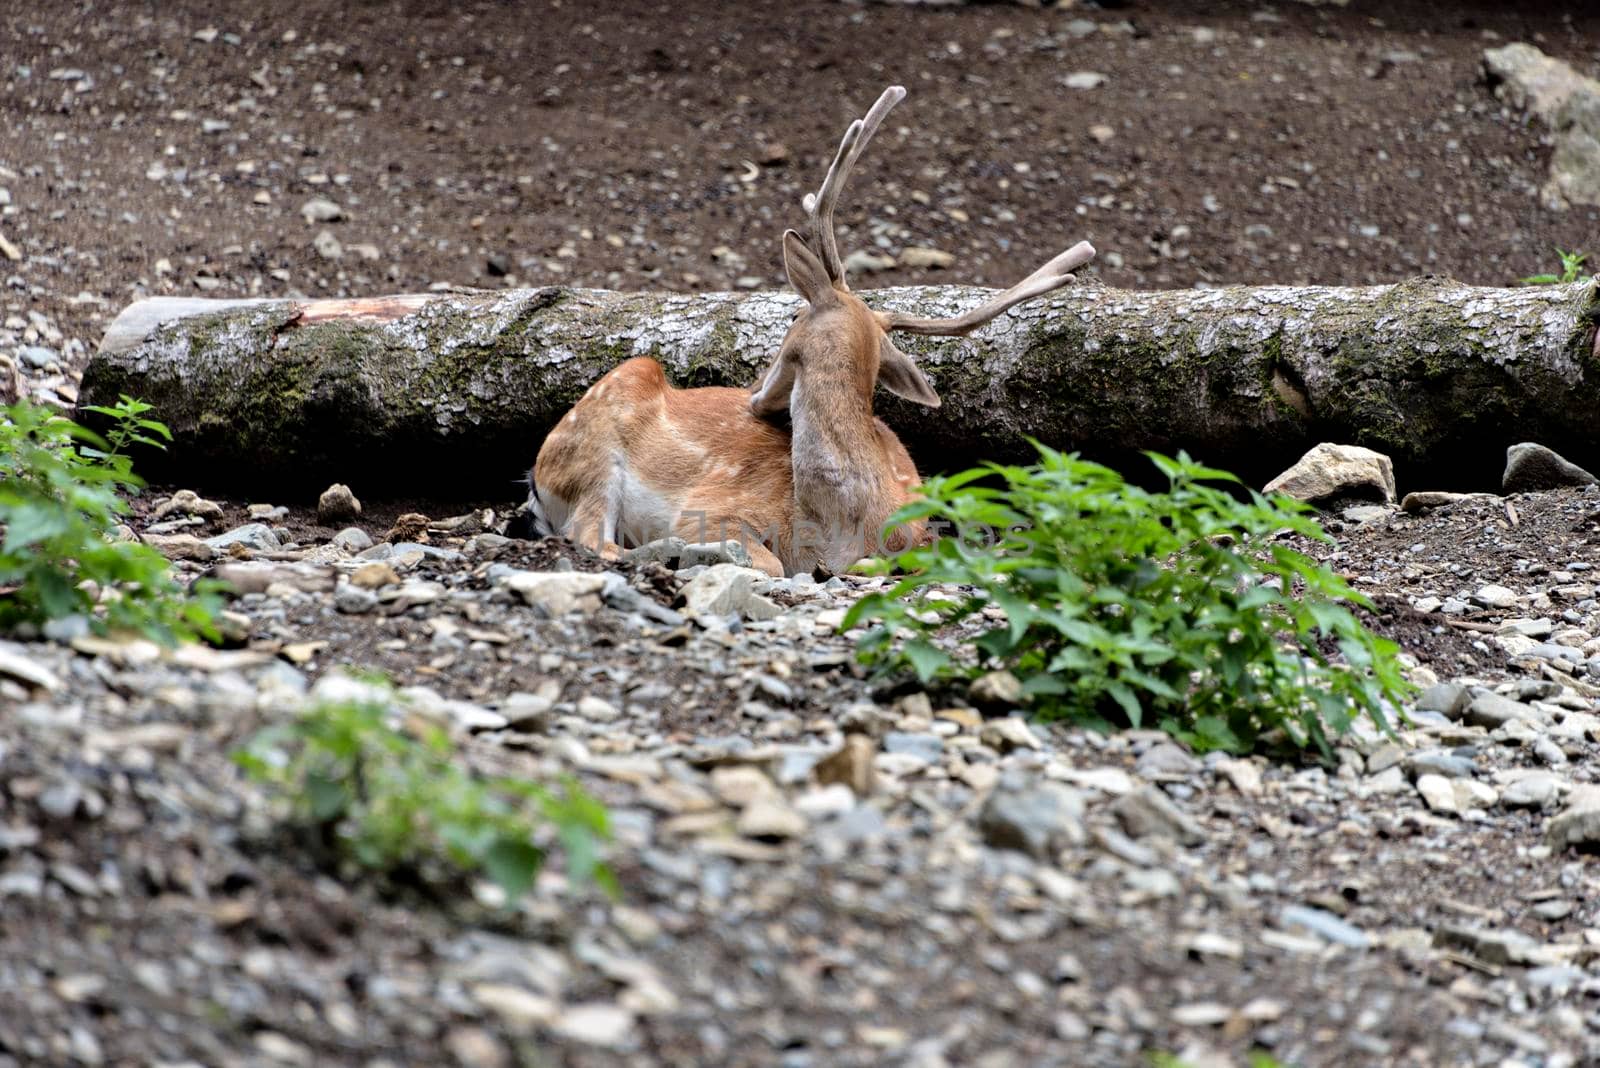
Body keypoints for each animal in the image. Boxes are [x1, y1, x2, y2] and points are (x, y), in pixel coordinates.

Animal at [524, 87, 1100, 578]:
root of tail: (534, 477)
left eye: (791, 320)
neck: (846, 526)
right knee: (590, 535)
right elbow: (770, 562)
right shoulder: (708, 508)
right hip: (597, 439)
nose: (752, 394)